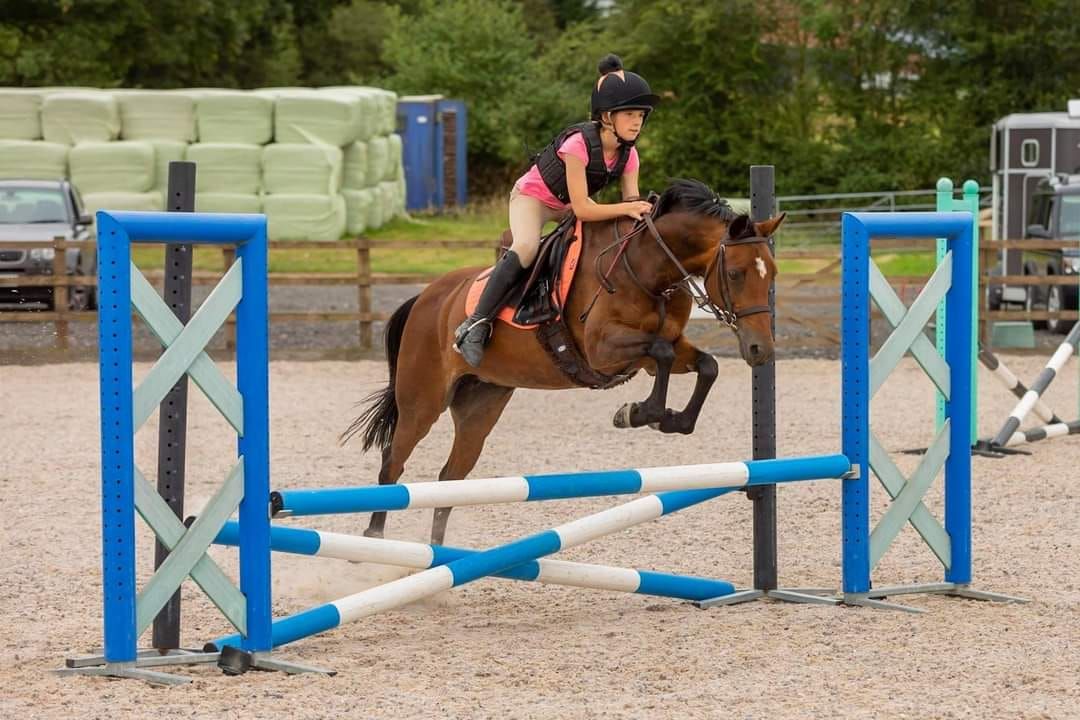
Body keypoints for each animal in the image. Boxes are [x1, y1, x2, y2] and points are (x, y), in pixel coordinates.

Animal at [345, 177, 786, 544]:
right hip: (423, 400)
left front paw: (670, 420)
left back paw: (437, 559)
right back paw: (374, 541)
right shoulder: (602, 350)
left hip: (482, 402)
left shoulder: (665, 346)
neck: (648, 267)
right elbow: (659, 355)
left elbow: (706, 365)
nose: (761, 350)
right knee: (393, 464)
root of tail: (426, 297)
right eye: (735, 274)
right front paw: (637, 412)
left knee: (451, 476)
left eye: (772, 273)